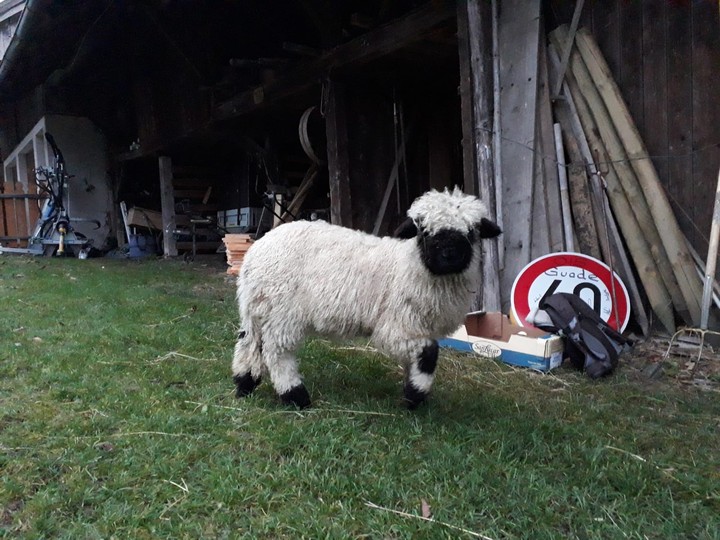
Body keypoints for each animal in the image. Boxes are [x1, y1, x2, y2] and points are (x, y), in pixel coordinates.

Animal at [231, 187, 501, 409]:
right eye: (423, 231)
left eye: (471, 232)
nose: (449, 255)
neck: (408, 265)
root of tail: (256, 252)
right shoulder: (395, 327)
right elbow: (428, 353)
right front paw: (415, 395)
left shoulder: (416, 327)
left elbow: (412, 361)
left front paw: (412, 391)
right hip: (282, 310)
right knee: (276, 352)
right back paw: (295, 396)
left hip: (258, 307)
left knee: (249, 344)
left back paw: (244, 385)